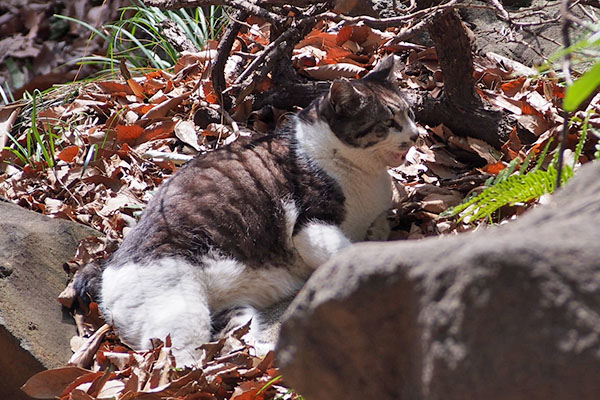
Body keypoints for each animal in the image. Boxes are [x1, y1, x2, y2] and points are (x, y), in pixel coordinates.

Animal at [78, 56, 418, 366]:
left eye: (410, 113)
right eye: (388, 122)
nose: (415, 135)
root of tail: (106, 272)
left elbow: (378, 229)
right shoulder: (310, 226)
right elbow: (344, 252)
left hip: (235, 313)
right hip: (181, 309)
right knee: (178, 361)